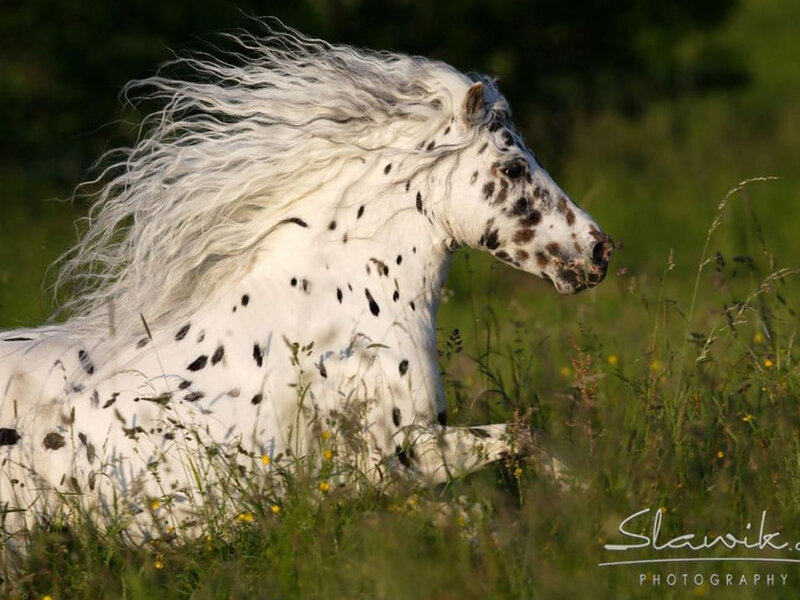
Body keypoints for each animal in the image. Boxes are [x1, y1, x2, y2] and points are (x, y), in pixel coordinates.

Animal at [0, 25, 613, 543]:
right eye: (513, 168)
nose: (600, 251)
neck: (333, 313)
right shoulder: (404, 456)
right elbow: (513, 450)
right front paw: (586, 501)